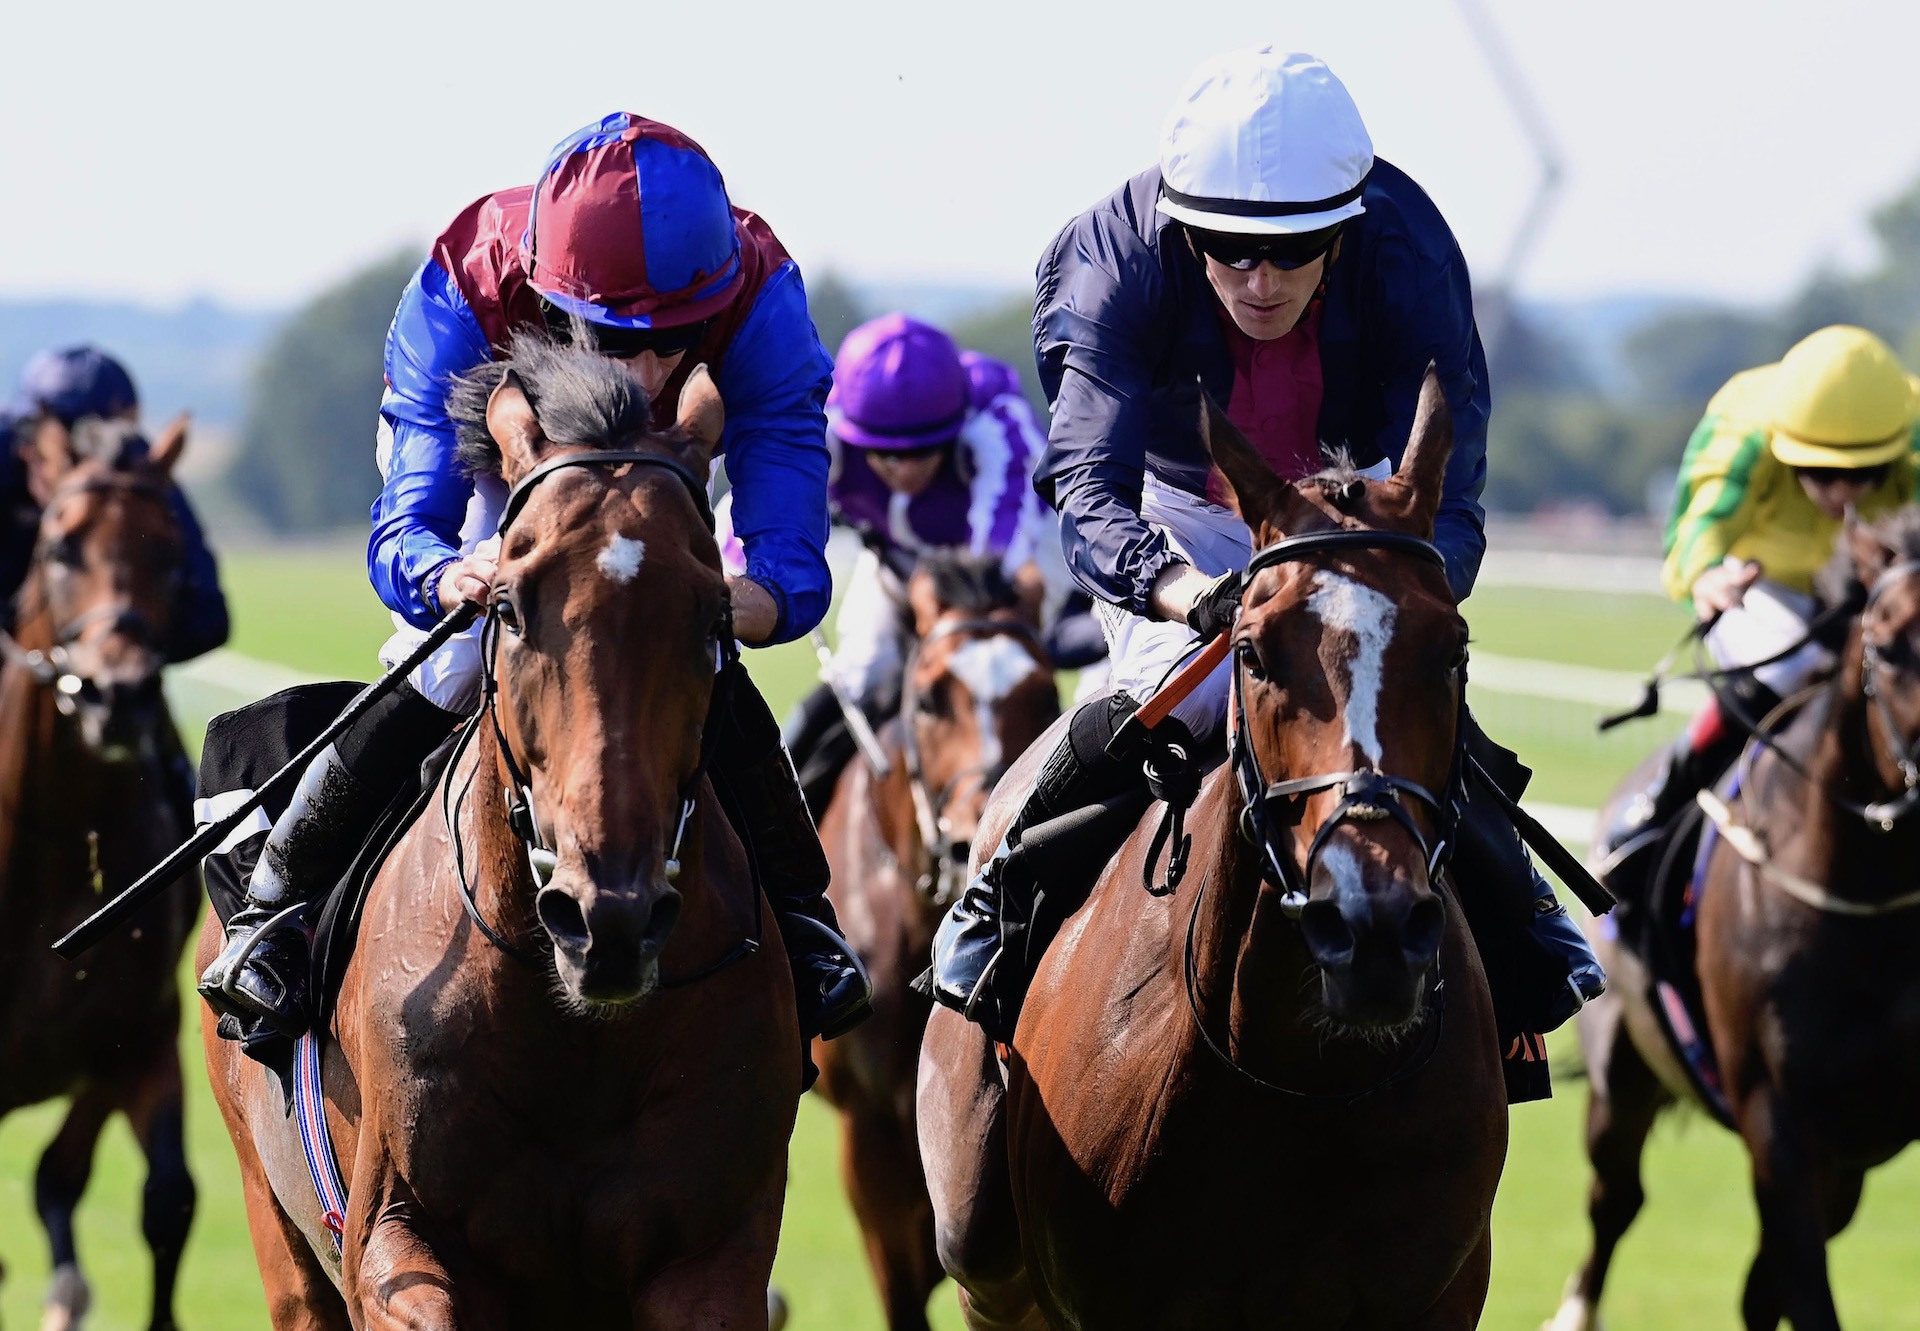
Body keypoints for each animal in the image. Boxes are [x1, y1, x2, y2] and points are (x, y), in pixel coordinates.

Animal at [1551, 507, 1920, 1329]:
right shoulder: (1776, 1116)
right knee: (1614, 1200)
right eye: (1886, 643)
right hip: (1622, 1071)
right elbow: (1802, 1287)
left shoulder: (1851, 1138)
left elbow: (1775, 1280)